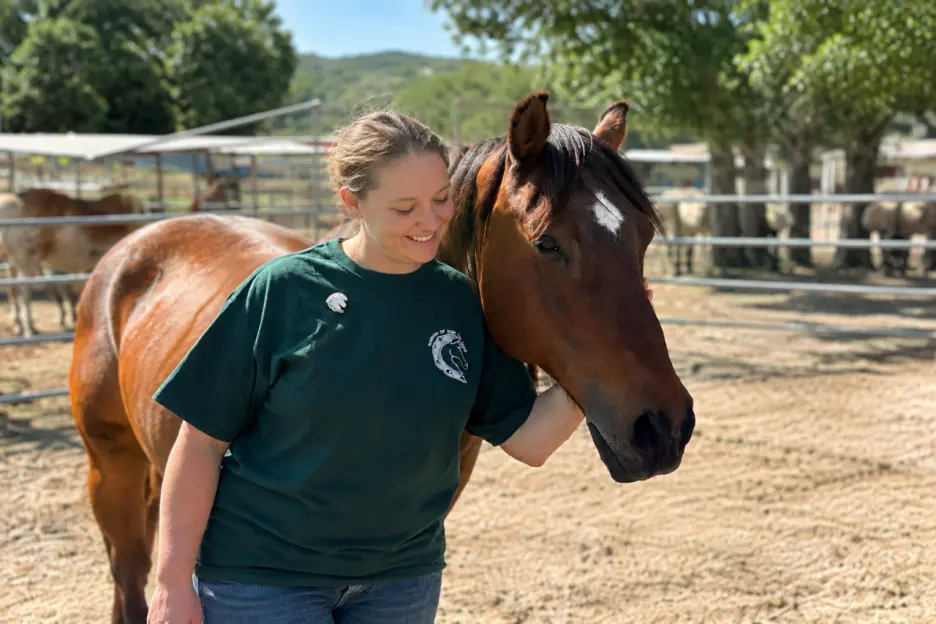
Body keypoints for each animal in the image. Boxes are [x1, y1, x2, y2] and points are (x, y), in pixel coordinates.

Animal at [0, 188, 146, 337]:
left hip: (16, 261)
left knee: (13, 289)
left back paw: (20, 324)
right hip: (25, 260)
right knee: (24, 291)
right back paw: (29, 328)